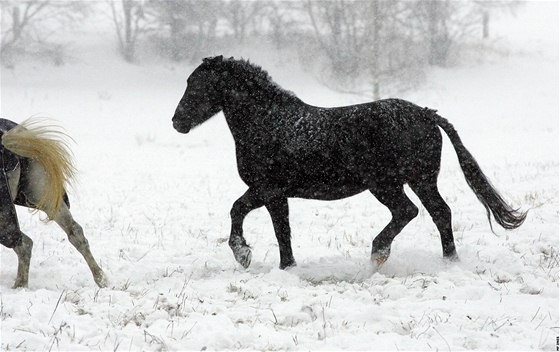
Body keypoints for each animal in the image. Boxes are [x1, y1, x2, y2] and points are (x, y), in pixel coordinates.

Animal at [173, 55, 528, 270]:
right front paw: (280, 264)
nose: (177, 122)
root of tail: (426, 114)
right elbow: (272, 225)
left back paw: (379, 253)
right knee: (440, 212)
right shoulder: (274, 194)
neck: (269, 123)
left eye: (196, 85)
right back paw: (448, 261)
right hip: (420, 180)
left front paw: (246, 255)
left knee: (409, 212)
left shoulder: (268, 189)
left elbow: (248, 216)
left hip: (386, 184)